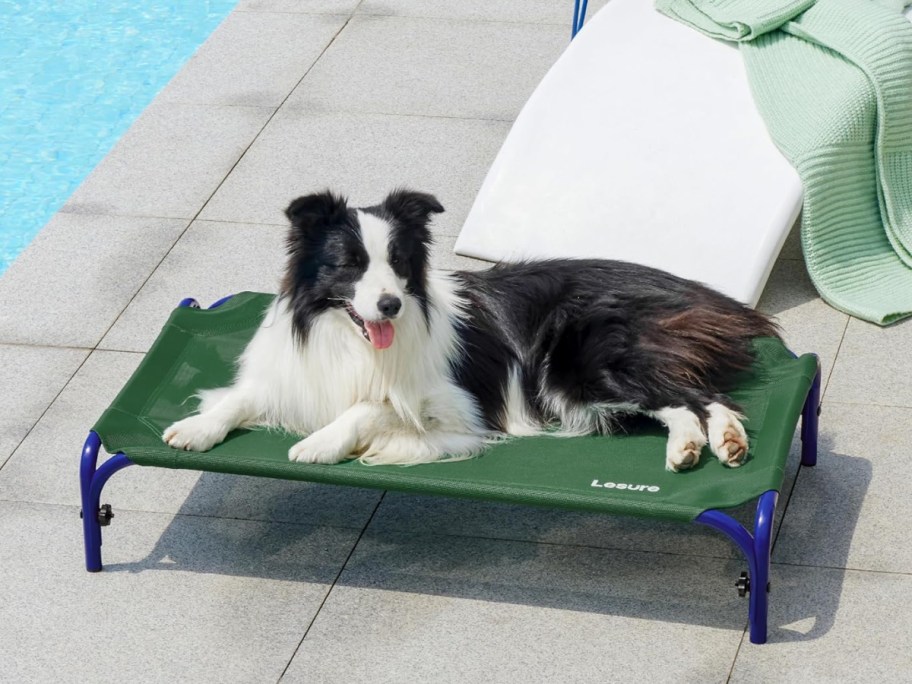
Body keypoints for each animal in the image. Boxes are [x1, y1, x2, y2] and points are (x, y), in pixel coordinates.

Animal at [164, 190, 776, 472]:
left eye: (399, 262)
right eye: (349, 265)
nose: (389, 304)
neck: (349, 341)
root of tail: (696, 292)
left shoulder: (460, 405)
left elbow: (373, 406)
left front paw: (323, 441)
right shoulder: (292, 374)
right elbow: (240, 398)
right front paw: (195, 428)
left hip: (579, 364)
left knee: (698, 395)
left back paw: (722, 439)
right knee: (682, 402)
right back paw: (694, 447)